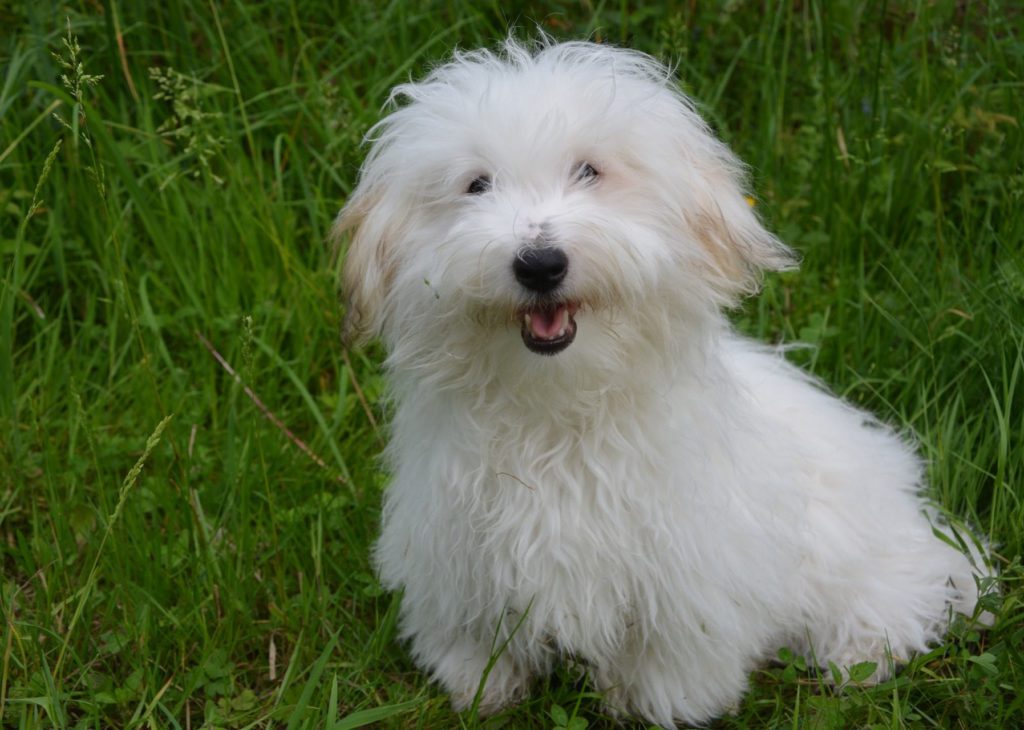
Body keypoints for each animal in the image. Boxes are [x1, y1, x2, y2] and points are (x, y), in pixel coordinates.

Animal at [335, 38, 991, 724]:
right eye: (476, 184)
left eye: (590, 171)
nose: (539, 263)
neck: (558, 410)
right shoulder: (456, 554)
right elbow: (475, 636)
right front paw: (480, 685)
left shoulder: (685, 573)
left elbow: (671, 656)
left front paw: (655, 704)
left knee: (903, 591)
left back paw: (860, 654)